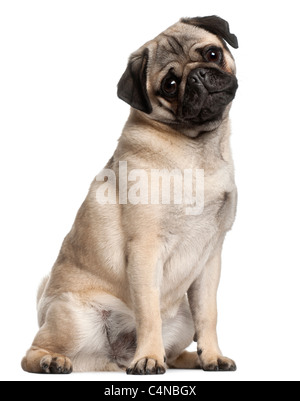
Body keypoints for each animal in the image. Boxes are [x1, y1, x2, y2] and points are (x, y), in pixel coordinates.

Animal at [21, 14, 239, 374]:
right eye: (170, 84)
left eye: (212, 54)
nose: (196, 76)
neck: (195, 149)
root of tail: (113, 358)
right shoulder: (145, 249)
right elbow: (148, 312)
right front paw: (148, 358)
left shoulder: (211, 259)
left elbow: (209, 314)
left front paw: (211, 355)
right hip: (73, 319)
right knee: (31, 352)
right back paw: (54, 361)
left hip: (183, 319)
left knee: (176, 349)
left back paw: (191, 358)